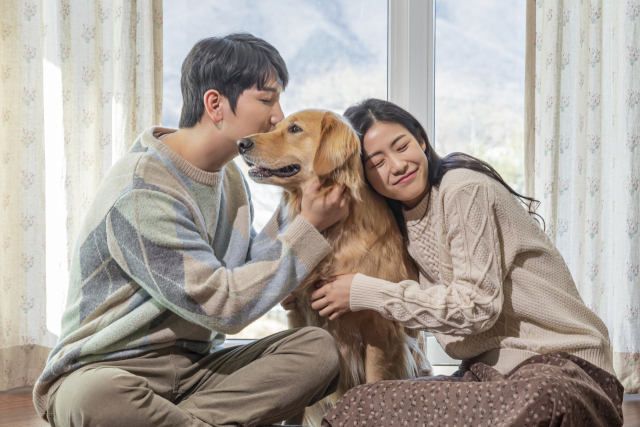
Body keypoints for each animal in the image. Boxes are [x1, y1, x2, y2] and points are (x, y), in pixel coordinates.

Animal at [238, 111, 432, 427]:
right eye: (276, 126)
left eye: (295, 129)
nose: (241, 143)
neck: (334, 231)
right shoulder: (298, 314)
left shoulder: (379, 330)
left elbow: (372, 386)